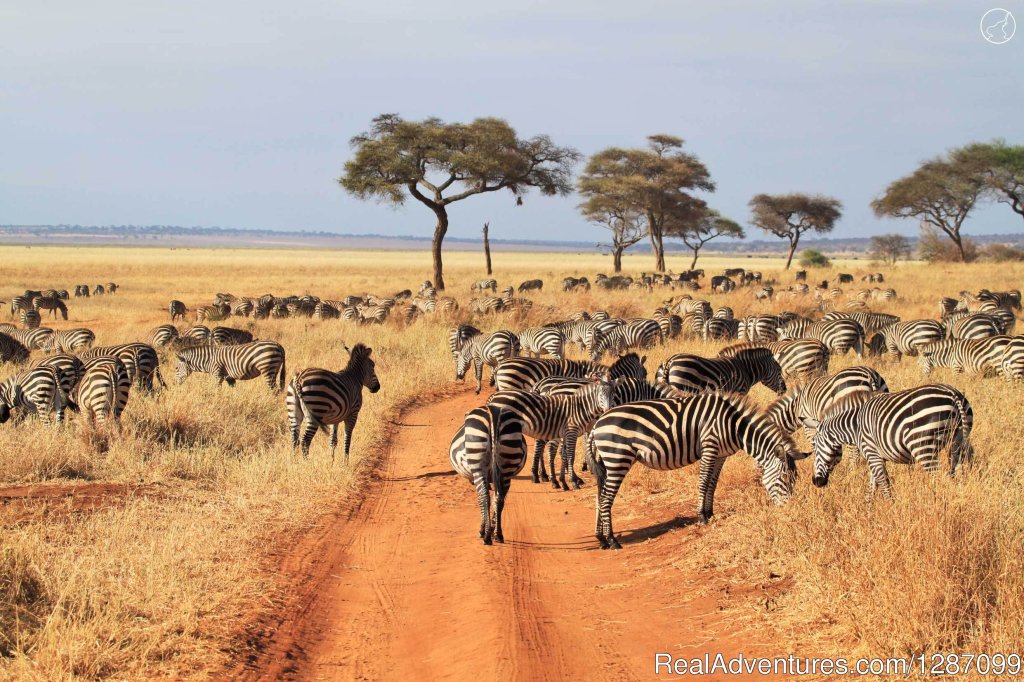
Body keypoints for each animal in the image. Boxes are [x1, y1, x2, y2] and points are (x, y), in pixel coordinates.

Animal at [450, 403, 528, 540]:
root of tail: (493, 411)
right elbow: (497, 500)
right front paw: (492, 527)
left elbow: (482, 500)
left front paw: (484, 529)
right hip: (507, 466)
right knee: (499, 499)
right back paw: (498, 534)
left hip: (478, 464)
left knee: (484, 497)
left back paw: (486, 536)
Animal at [589, 393, 802, 548]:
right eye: (784, 478)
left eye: (794, 480)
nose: (789, 510)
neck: (734, 425)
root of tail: (597, 424)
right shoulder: (710, 446)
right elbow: (704, 481)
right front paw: (701, 516)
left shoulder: (721, 455)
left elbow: (713, 484)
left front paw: (710, 513)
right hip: (618, 458)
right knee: (606, 499)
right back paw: (612, 541)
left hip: (606, 464)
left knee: (600, 497)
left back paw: (601, 539)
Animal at [798, 382, 974, 499]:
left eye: (815, 447)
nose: (816, 482)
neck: (855, 425)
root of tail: (953, 395)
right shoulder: (875, 456)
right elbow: (872, 485)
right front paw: (869, 512)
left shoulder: (871, 452)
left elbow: (883, 483)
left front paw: (890, 507)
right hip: (957, 442)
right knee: (956, 474)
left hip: (923, 448)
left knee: (940, 478)